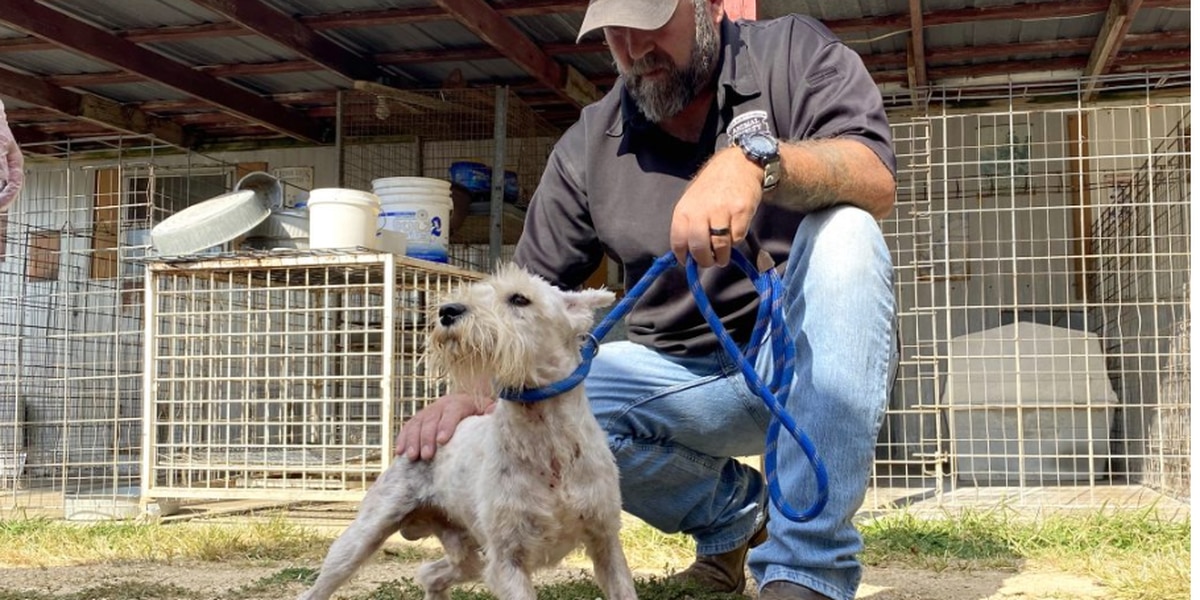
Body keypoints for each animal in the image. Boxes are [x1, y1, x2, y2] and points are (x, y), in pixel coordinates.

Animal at [298, 266, 638, 600]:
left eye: (519, 298)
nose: (447, 311)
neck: (548, 441)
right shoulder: (506, 561)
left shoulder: (606, 541)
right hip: (362, 539)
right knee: (317, 589)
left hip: (468, 554)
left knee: (430, 573)